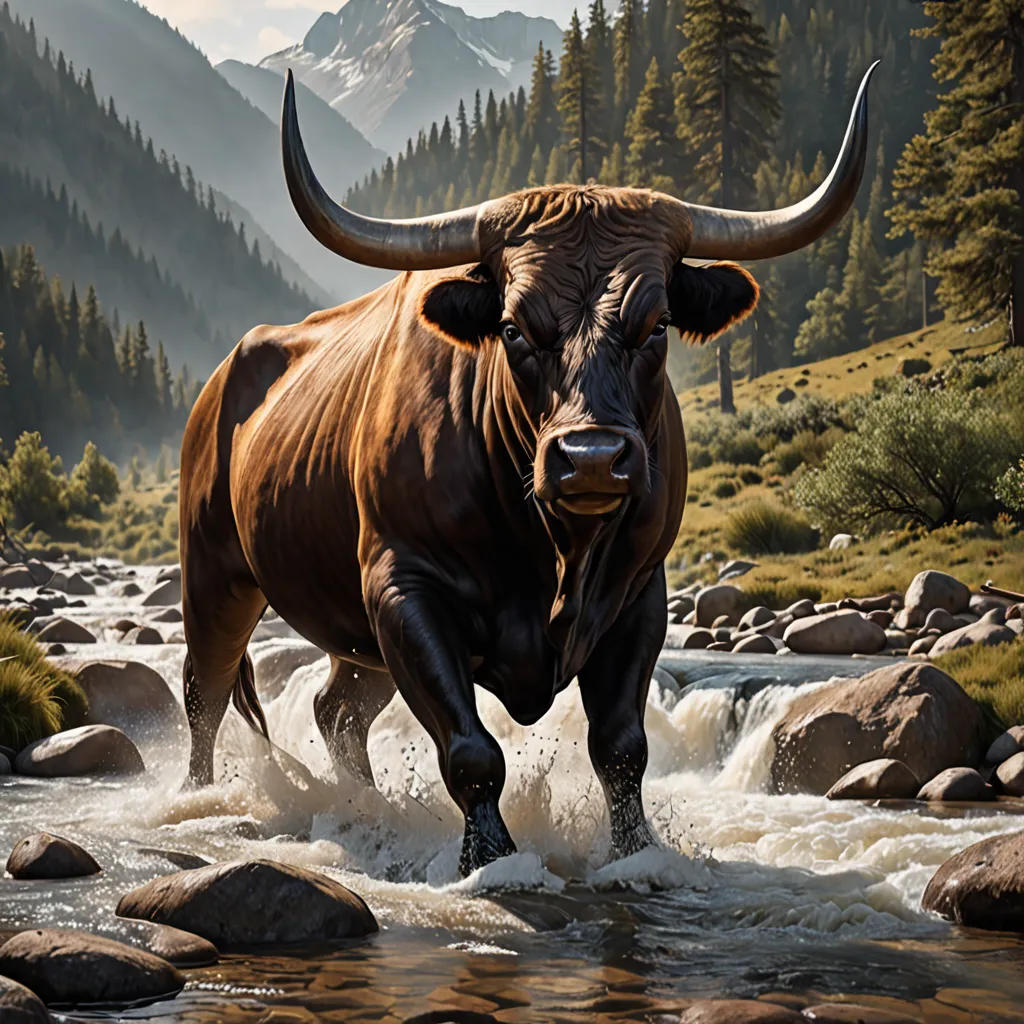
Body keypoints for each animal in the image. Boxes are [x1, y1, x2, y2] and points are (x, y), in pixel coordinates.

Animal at [179, 64, 878, 875]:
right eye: (513, 327)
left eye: (657, 324)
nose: (591, 458)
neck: (552, 547)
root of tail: (226, 376)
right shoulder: (403, 587)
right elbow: (472, 749)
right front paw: (490, 857)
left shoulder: (639, 594)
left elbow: (621, 747)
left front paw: (635, 852)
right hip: (216, 576)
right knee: (205, 693)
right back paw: (197, 801)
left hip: (350, 636)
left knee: (337, 709)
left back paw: (367, 807)